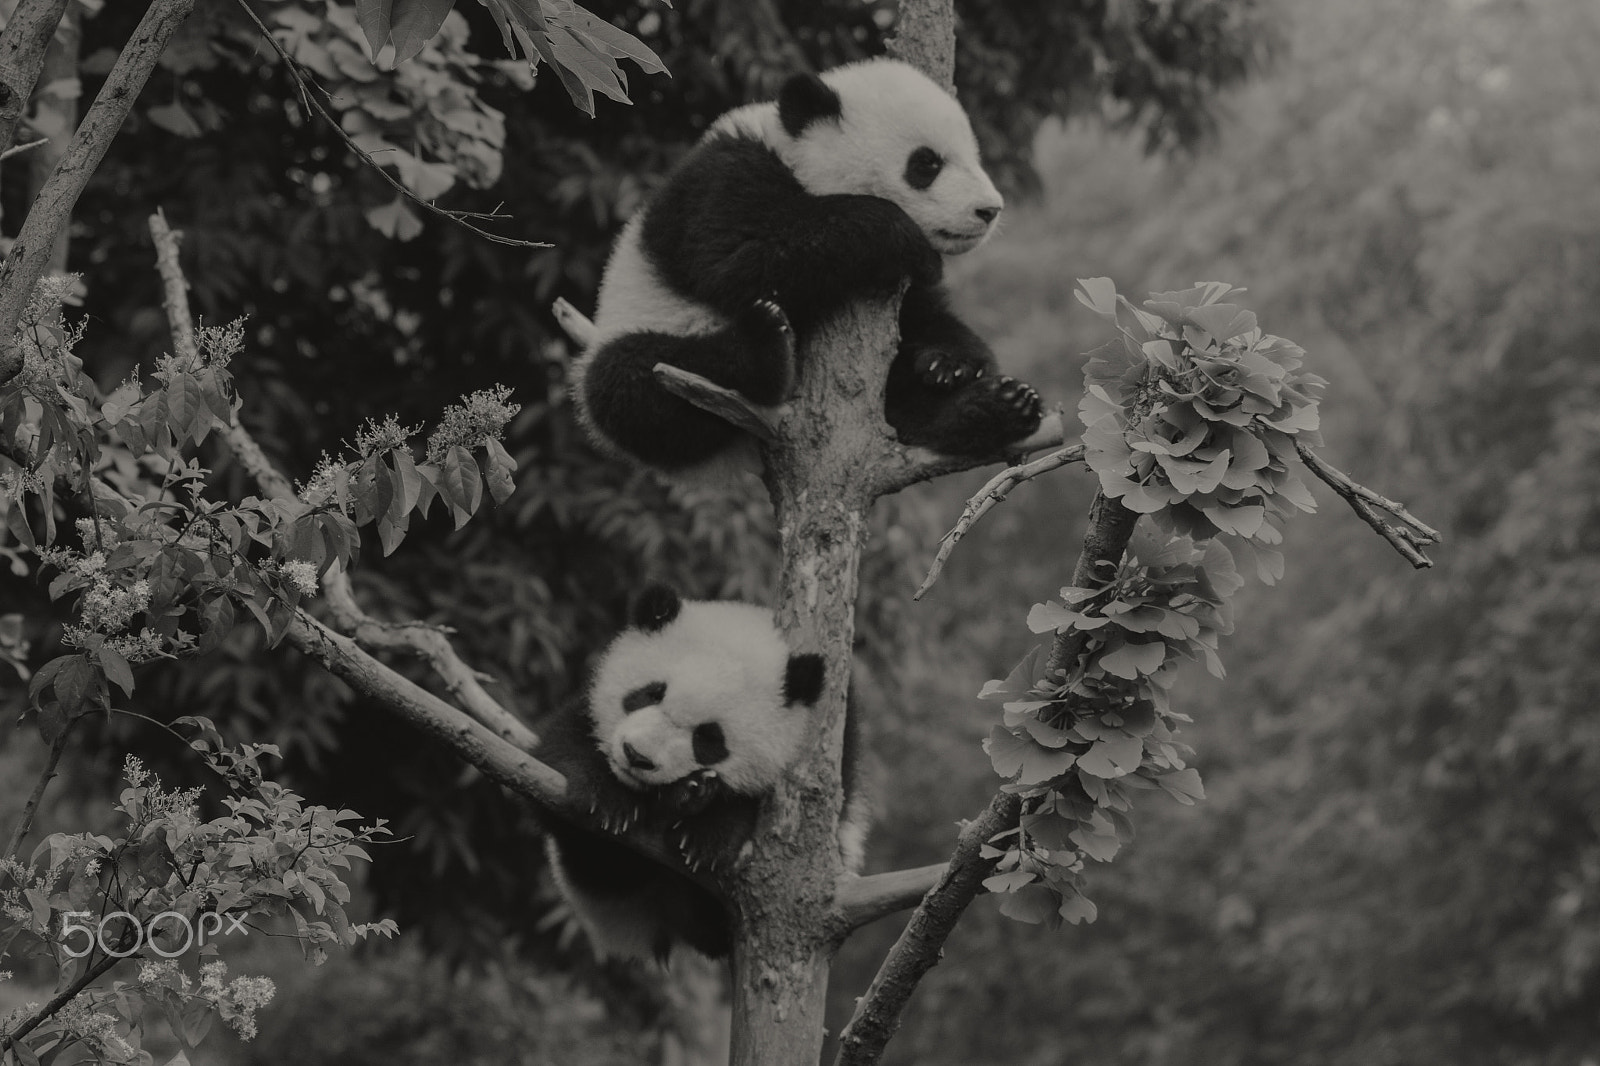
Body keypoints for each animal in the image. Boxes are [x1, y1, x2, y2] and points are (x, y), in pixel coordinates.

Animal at [536, 584, 865, 962]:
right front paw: (606, 801)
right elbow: (562, 747)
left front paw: (703, 834)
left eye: (708, 738)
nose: (637, 756)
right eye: (651, 693)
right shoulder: (585, 713)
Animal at [572, 57, 1043, 480]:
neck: (793, 156)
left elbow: (928, 316)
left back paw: (997, 406)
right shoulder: (721, 181)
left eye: (973, 156)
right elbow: (735, 264)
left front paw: (950, 363)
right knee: (630, 383)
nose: (989, 210)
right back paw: (761, 349)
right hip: (646, 332)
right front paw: (900, 235)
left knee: (905, 409)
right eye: (926, 163)